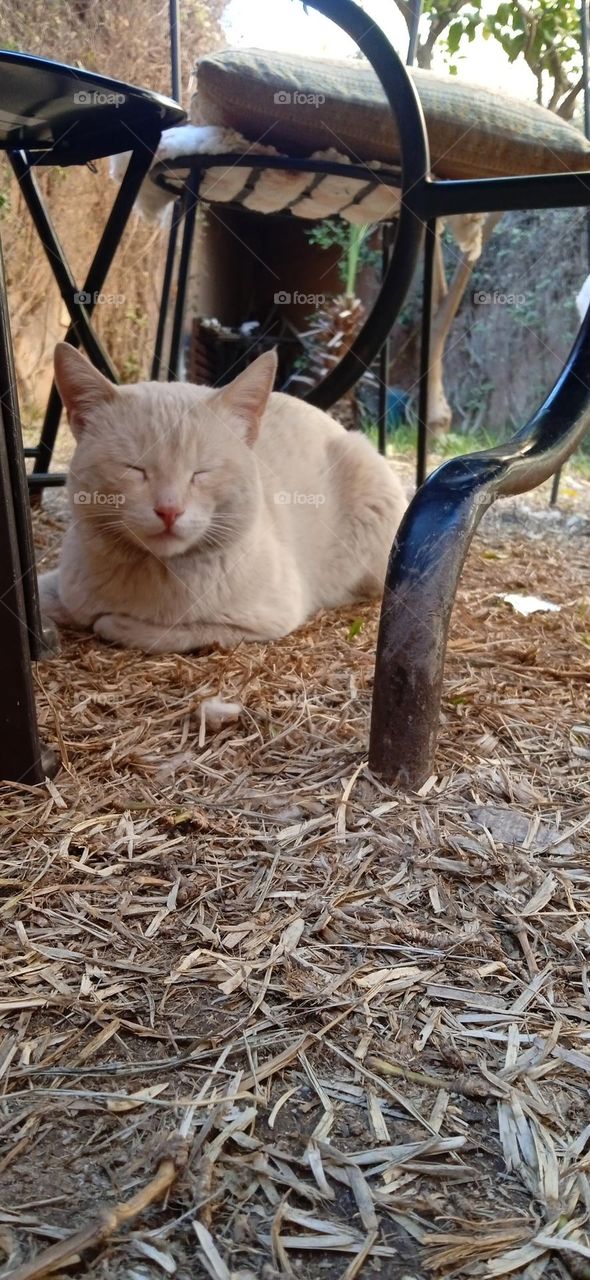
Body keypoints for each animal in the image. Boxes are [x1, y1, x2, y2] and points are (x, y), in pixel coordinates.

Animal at [36, 343, 404, 650]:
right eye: (135, 469)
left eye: (201, 472)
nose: (169, 510)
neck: (155, 572)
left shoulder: (263, 620)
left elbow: (170, 632)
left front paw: (114, 623)